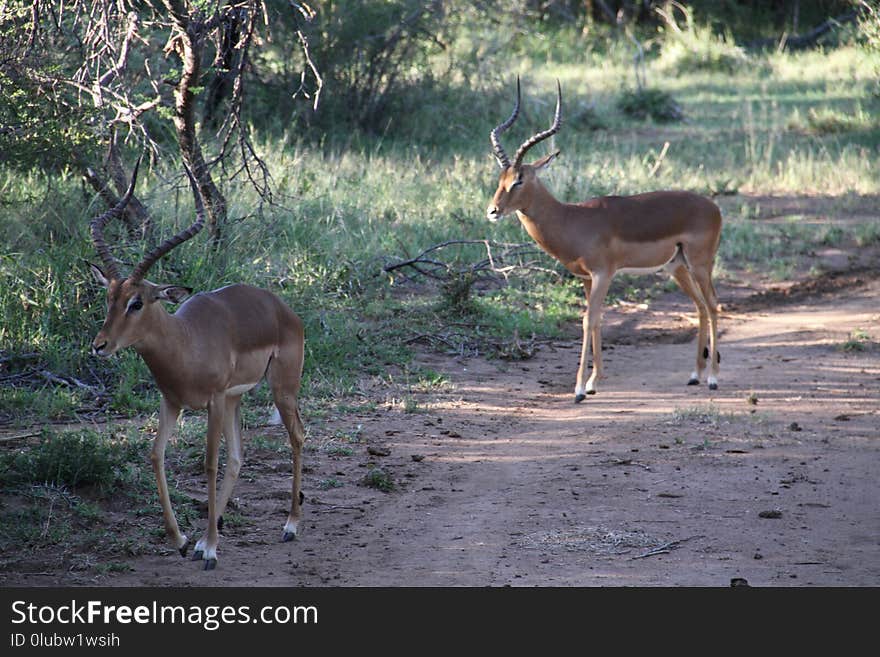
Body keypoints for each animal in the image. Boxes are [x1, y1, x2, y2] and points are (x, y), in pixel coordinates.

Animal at [87, 160, 306, 568]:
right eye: (109, 297)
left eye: (137, 302)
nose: (100, 346)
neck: (186, 341)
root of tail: (281, 308)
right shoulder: (172, 401)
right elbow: (156, 455)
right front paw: (183, 540)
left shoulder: (213, 401)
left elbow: (208, 463)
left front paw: (211, 550)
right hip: (237, 399)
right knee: (237, 456)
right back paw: (210, 533)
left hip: (280, 389)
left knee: (296, 436)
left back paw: (290, 526)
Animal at [488, 80, 720, 400]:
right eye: (500, 179)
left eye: (519, 179)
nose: (492, 211)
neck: (571, 219)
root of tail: (713, 207)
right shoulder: (586, 278)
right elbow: (596, 321)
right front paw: (594, 382)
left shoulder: (602, 274)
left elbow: (589, 321)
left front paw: (579, 389)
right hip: (677, 267)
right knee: (699, 306)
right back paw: (695, 375)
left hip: (700, 265)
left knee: (713, 305)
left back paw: (713, 378)